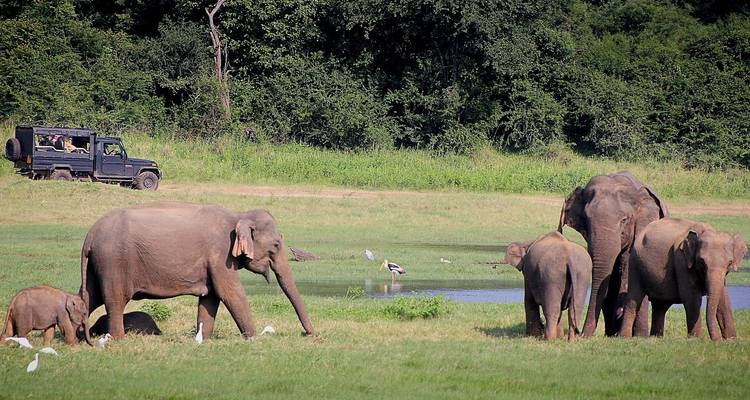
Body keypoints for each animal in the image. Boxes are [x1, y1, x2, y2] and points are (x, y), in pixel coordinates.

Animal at [79, 202, 314, 340]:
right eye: (276, 244)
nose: (309, 334)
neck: (238, 215)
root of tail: (89, 236)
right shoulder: (220, 254)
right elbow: (230, 292)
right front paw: (254, 338)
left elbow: (210, 297)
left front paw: (203, 339)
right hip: (114, 262)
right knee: (115, 300)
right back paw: (117, 339)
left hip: (97, 265)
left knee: (88, 297)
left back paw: (80, 338)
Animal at [558, 172, 669, 336]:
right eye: (587, 219)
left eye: (624, 220)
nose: (581, 334)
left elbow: (627, 267)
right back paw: (612, 332)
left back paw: (638, 334)